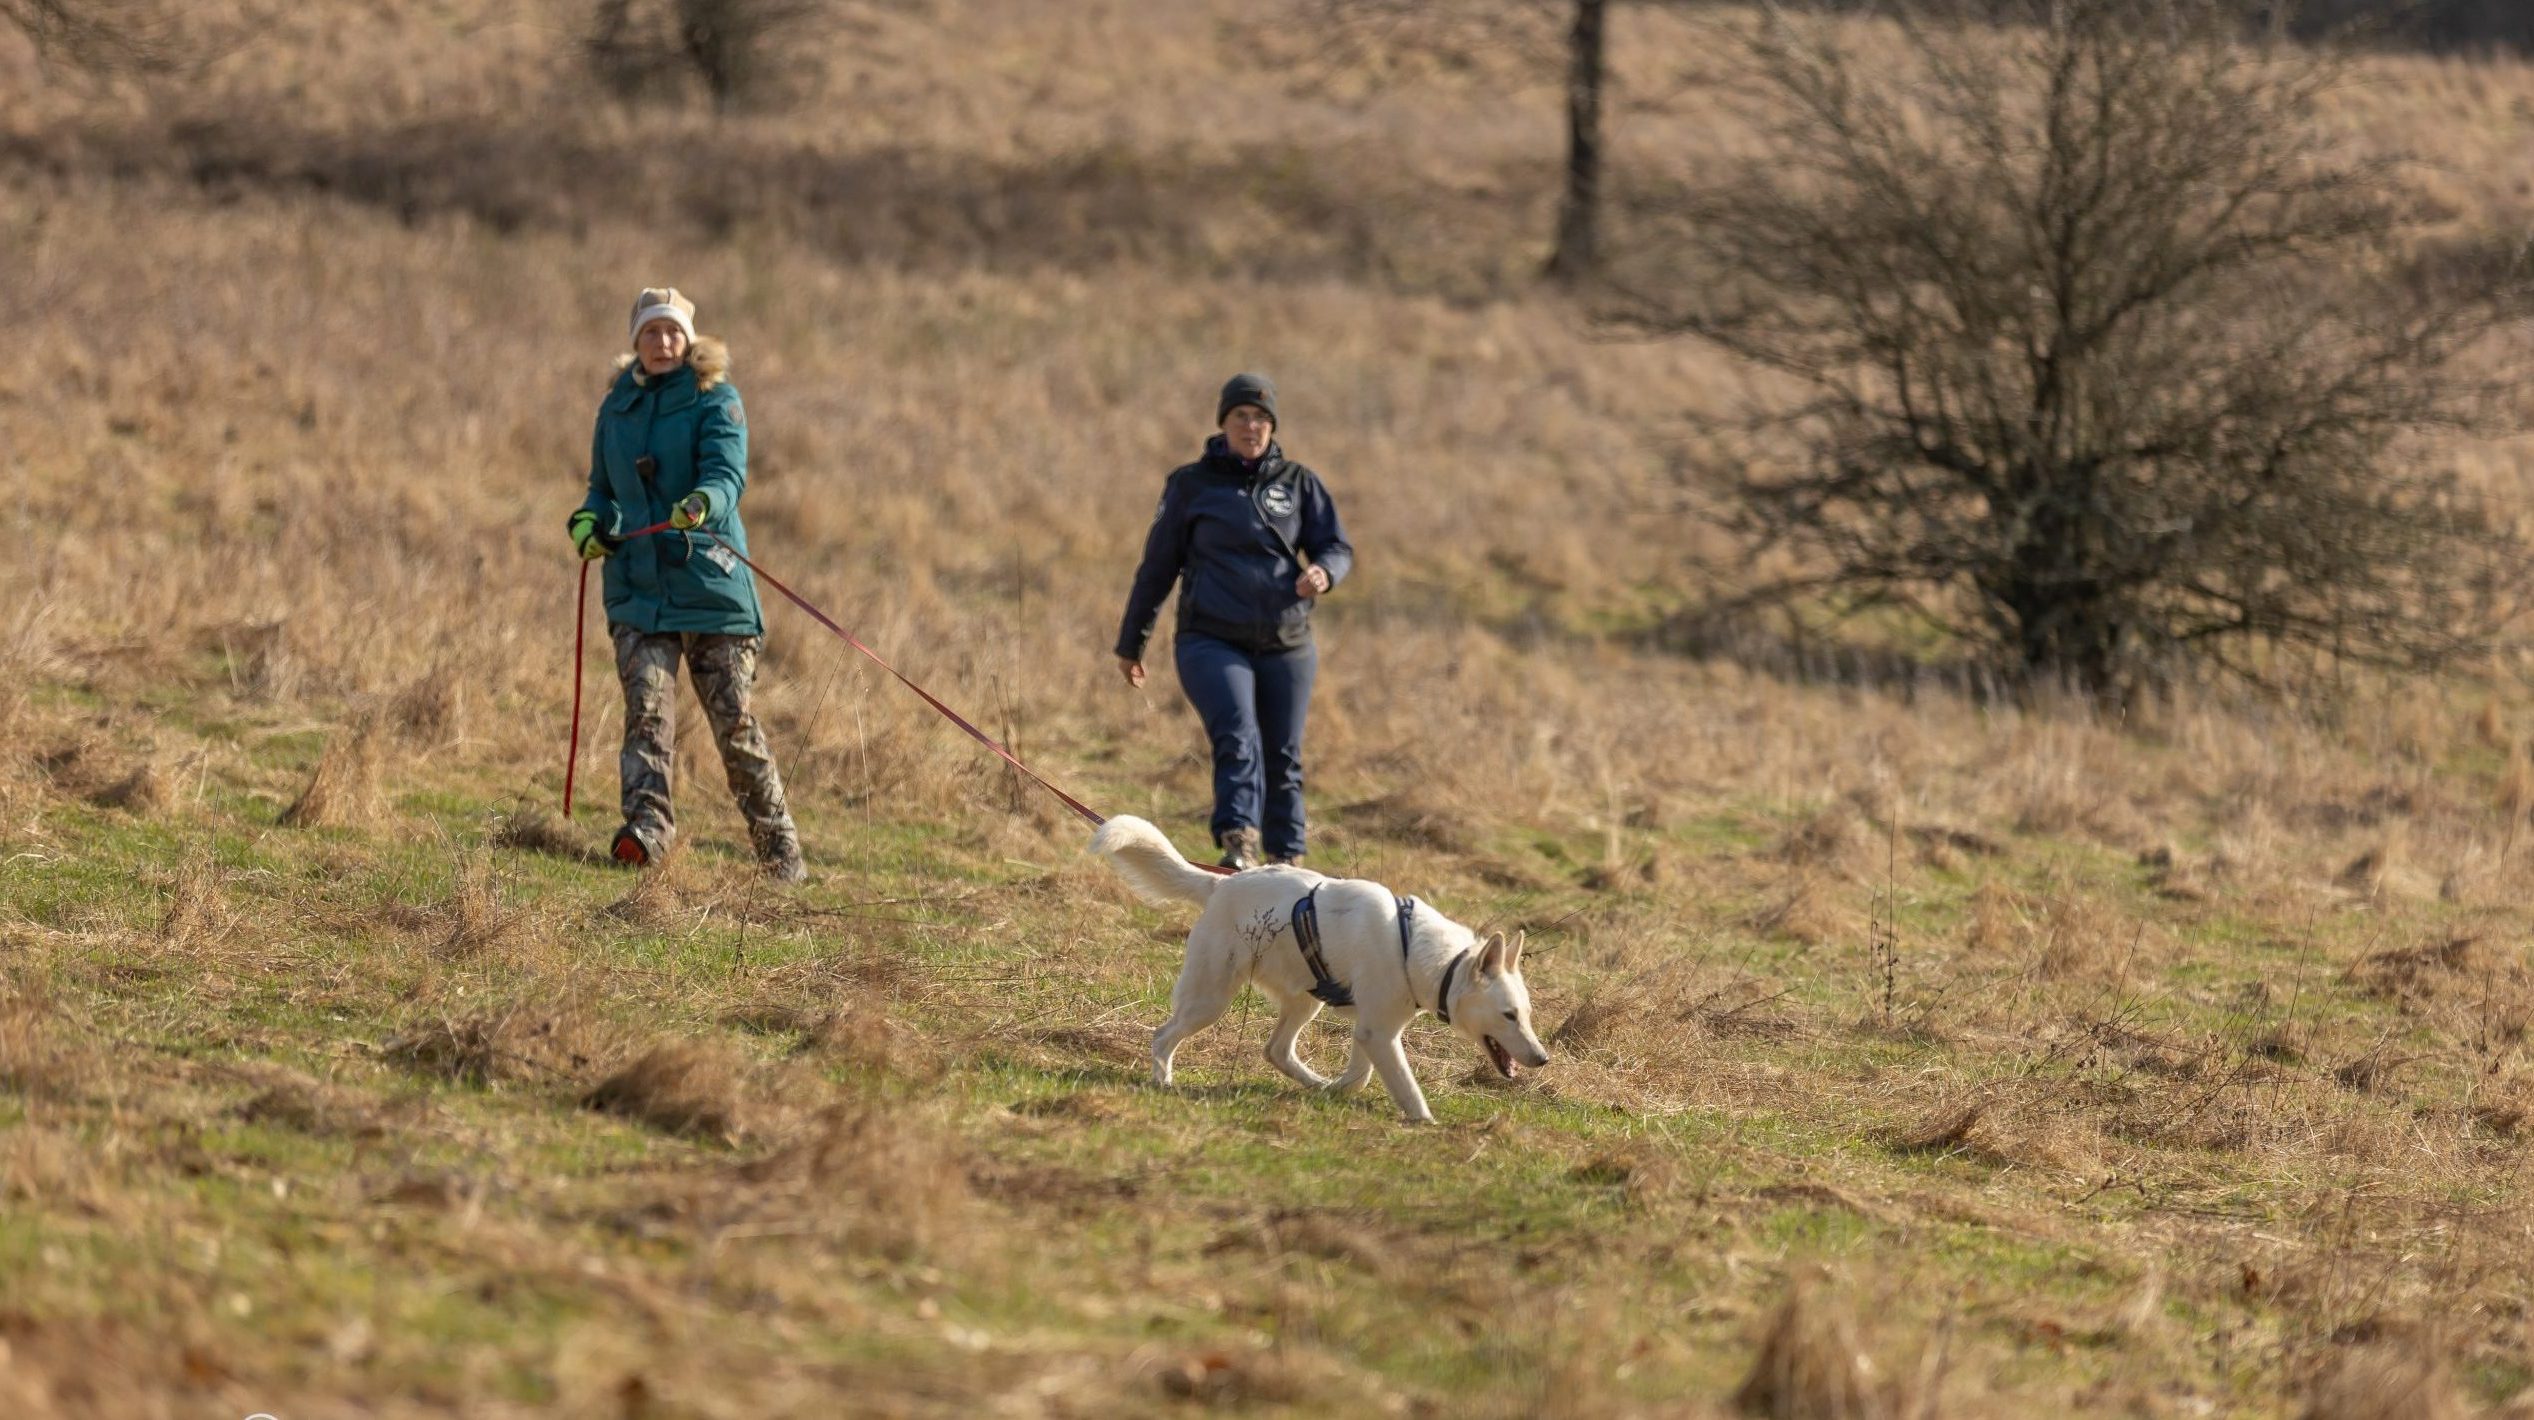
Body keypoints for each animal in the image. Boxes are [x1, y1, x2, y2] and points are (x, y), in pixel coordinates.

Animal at [1084, 816, 1540, 1125]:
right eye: (1508, 1016)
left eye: (1526, 1015)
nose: (1542, 1058)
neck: (1417, 950)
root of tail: (1222, 885)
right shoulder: (1378, 1031)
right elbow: (1405, 1088)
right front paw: (1425, 1124)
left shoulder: (1372, 1031)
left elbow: (1359, 1076)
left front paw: (1334, 1091)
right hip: (1210, 1000)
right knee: (1163, 1036)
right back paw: (1162, 1081)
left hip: (1305, 1001)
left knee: (1275, 1050)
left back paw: (1314, 1083)